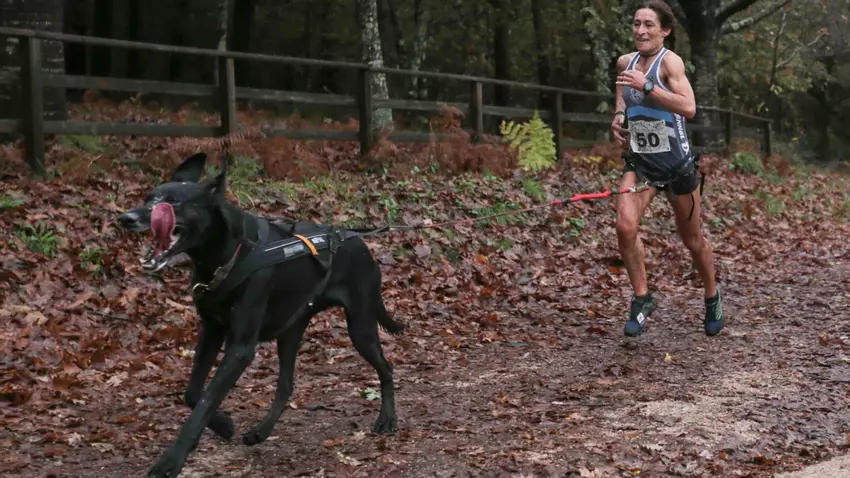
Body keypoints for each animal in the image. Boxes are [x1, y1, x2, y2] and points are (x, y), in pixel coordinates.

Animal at [117, 152, 404, 478]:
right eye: (147, 197)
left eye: (173, 201)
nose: (126, 218)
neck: (227, 253)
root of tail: (357, 240)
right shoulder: (211, 331)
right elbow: (193, 393)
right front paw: (224, 425)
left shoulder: (240, 347)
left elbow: (205, 401)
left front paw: (170, 462)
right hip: (291, 331)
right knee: (286, 385)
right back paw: (261, 432)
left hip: (360, 327)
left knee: (386, 368)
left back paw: (387, 419)